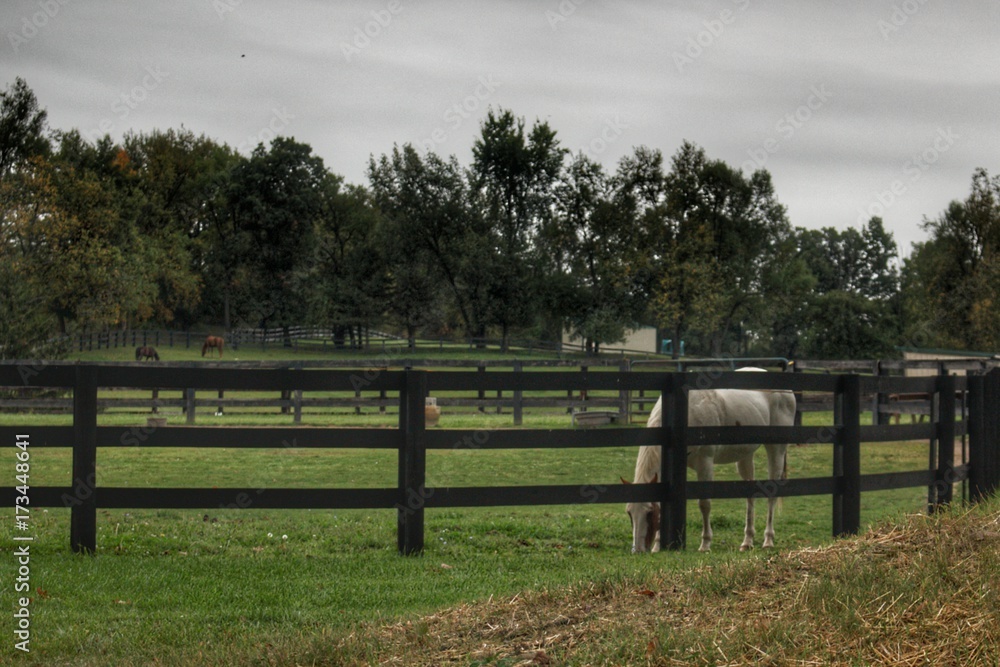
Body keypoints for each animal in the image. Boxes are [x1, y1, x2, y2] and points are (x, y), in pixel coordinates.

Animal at [624, 370, 796, 552]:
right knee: (750, 494)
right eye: (629, 512)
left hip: (776, 449)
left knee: (772, 494)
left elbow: (704, 504)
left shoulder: (705, 463)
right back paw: (747, 541)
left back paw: (768, 540)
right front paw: (658, 546)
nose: (638, 550)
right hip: (745, 455)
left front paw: (705, 544)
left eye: (649, 512)